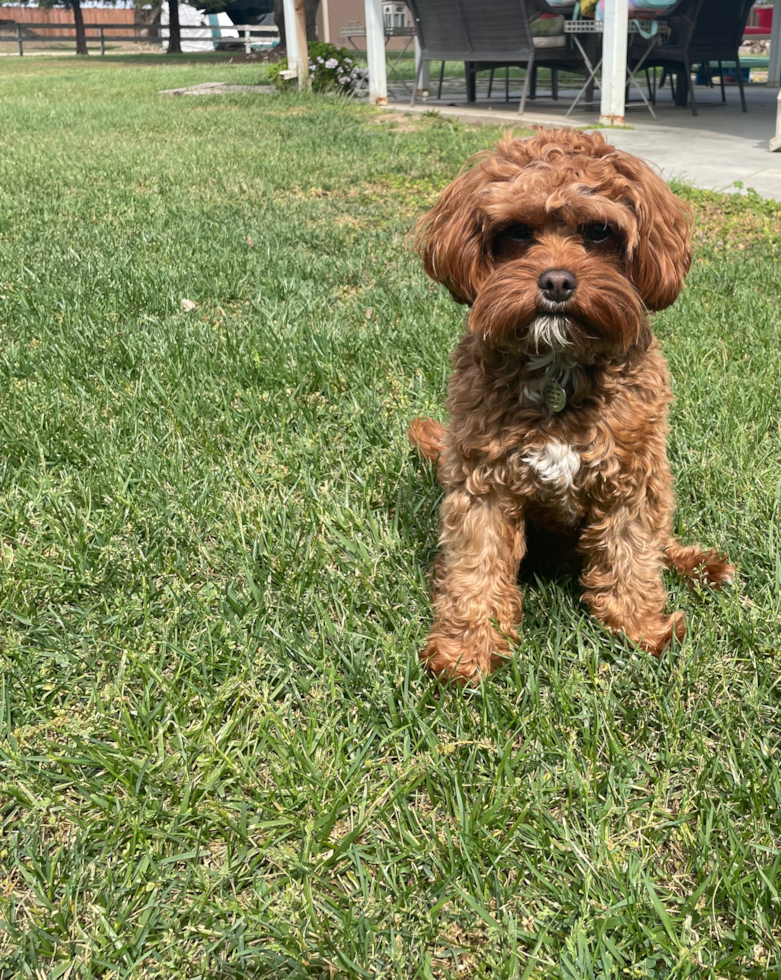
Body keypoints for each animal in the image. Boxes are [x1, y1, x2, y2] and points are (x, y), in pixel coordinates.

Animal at [408, 126, 732, 684]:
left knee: (659, 542)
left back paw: (694, 563)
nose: (556, 282)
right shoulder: (481, 483)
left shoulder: (632, 478)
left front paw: (640, 628)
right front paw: (467, 650)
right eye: (517, 232)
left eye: (599, 231)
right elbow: (476, 565)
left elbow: (631, 553)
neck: (558, 364)